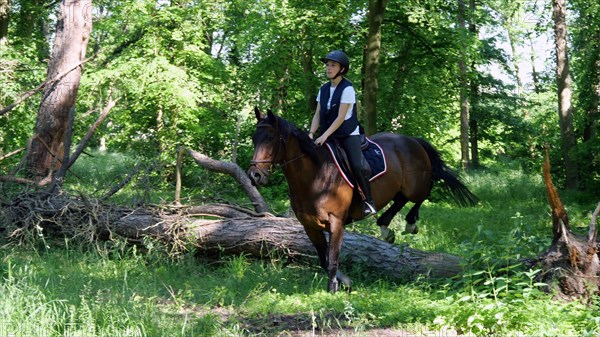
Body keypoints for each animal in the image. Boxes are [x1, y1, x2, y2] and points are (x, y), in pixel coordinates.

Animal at [246, 107, 476, 292]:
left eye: (270, 138)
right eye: (254, 138)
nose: (254, 176)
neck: (315, 175)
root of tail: (412, 140)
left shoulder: (336, 222)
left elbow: (332, 258)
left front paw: (333, 288)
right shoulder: (309, 226)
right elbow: (324, 258)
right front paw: (344, 281)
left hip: (415, 186)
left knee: (423, 194)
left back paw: (409, 223)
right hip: (399, 188)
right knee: (400, 200)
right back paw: (385, 227)